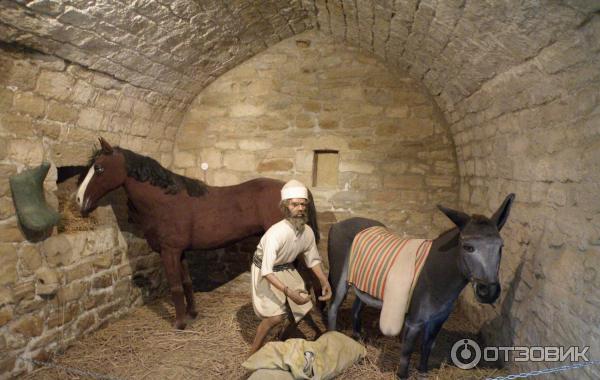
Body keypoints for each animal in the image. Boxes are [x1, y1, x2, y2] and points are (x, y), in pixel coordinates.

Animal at [77, 139, 322, 330]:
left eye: (99, 168)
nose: (79, 200)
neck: (165, 201)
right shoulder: (180, 252)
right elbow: (186, 282)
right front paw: (192, 314)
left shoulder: (169, 252)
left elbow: (175, 287)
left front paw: (179, 323)